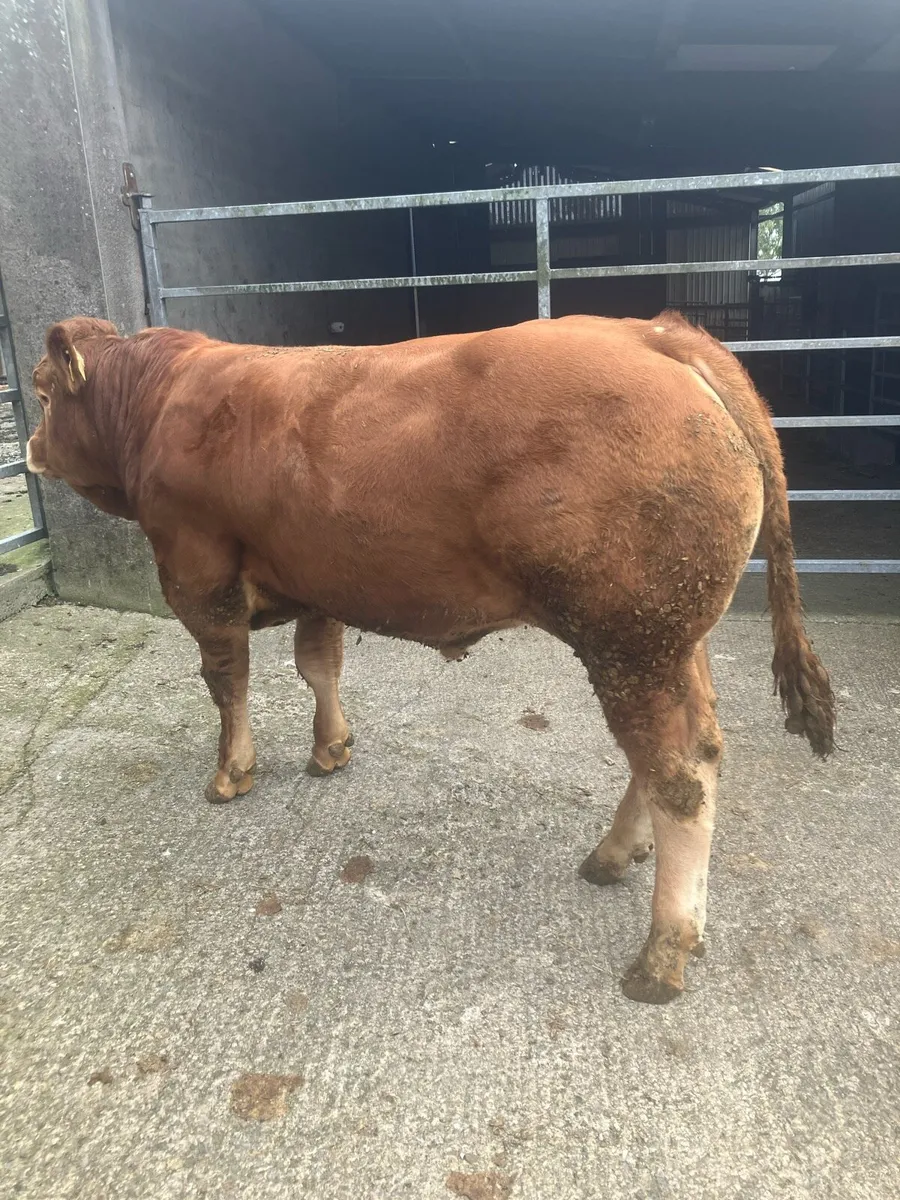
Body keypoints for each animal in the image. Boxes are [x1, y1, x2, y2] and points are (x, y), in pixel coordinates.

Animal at [27, 312, 834, 1003]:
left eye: (38, 391)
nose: (29, 450)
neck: (160, 399)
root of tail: (657, 333)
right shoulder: (317, 576)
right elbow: (318, 663)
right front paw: (331, 748)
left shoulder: (197, 574)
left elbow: (228, 682)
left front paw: (232, 773)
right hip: (669, 640)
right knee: (692, 748)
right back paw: (613, 855)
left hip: (629, 639)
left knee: (678, 777)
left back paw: (662, 952)